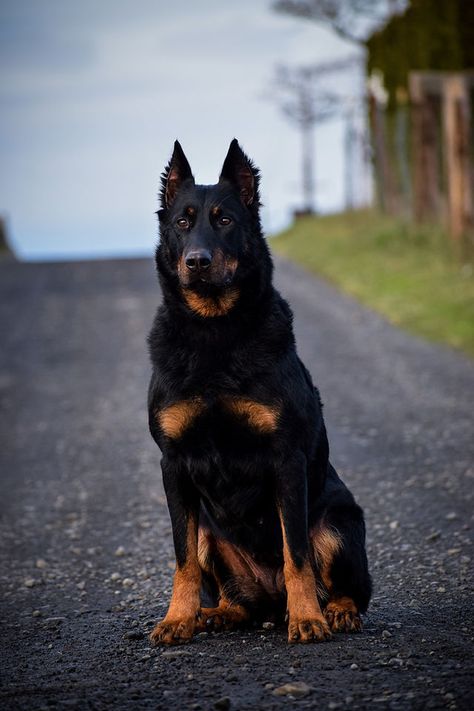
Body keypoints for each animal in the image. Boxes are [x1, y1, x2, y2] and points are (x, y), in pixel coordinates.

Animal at [147, 139, 370, 644]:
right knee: (238, 598)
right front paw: (177, 618)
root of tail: (270, 602)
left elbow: (296, 555)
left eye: (225, 220)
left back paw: (333, 611)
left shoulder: (286, 460)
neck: (214, 333)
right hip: (210, 534)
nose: (197, 261)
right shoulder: (173, 465)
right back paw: (216, 613)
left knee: (349, 586)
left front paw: (308, 619)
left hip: (338, 523)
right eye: (183, 222)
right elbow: (182, 560)